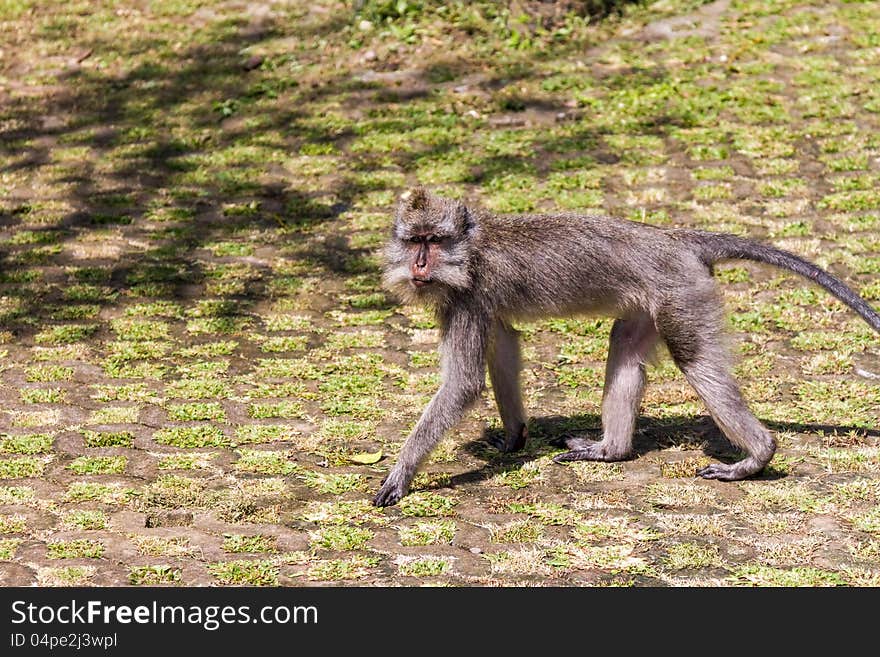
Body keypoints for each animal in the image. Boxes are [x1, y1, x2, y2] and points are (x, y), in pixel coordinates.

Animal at [370, 187, 880, 504]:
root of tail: (676, 238)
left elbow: (462, 385)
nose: (418, 265)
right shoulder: (477, 305)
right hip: (651, 302)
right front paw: (515, 436)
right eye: (414, 240)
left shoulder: (467, 298)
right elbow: (505, 346)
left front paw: (401, 474)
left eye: (434, 241)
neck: (471, 249)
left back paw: (758, 455)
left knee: (694, 359)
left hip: (683, 292)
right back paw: (612, 450)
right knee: (626, 347)